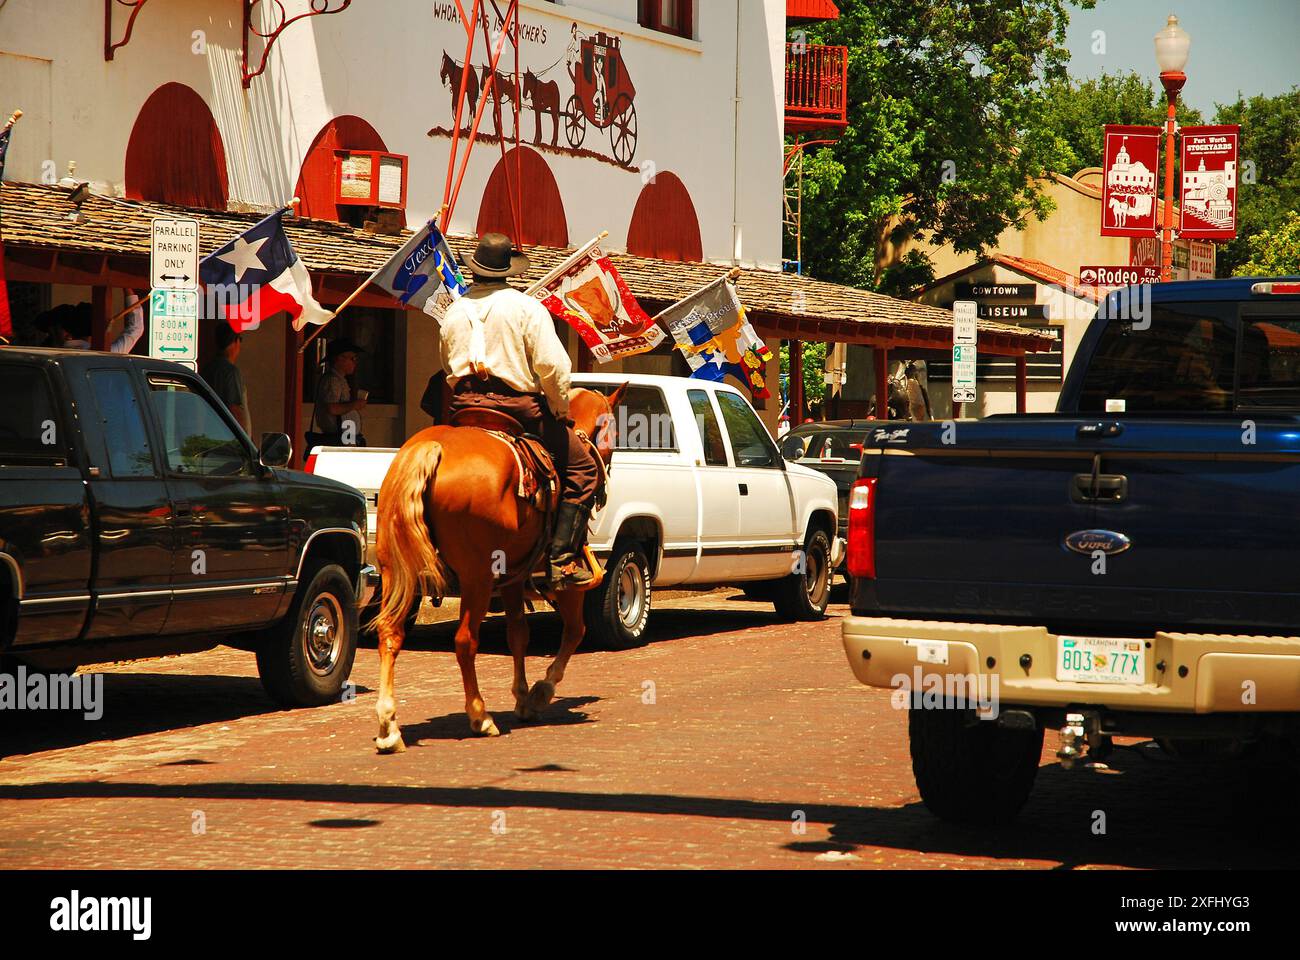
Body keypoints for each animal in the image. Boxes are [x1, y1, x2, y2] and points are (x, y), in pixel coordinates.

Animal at [369, 385, 626, 749]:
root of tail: (430, 449)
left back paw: (389, 726)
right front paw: (540, 692)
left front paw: (522, 696)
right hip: (476, 578)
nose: (604, 483)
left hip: (396, 572)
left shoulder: (513, 578)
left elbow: (518, 633)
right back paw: (479, 715)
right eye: (612, 434)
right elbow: (575, 631)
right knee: (465, 641)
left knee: (390, 633)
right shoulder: (567, 578)